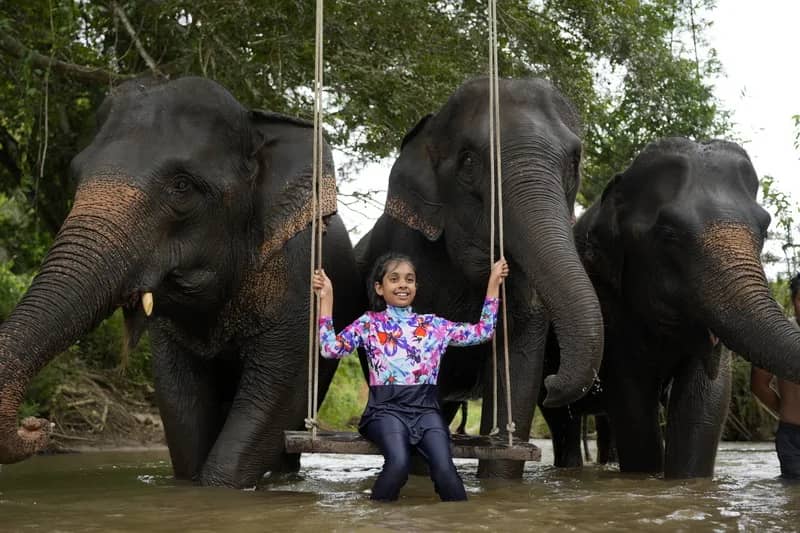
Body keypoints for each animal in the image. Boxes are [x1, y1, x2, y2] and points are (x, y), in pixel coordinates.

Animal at [0, 77, 364, 488]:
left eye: (181, 186)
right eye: (76, 174)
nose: (38, 424)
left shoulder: (296, 271)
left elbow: (279, 388)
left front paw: (220, 487)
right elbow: (178, 395)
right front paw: (189, 482)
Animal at [543, 137, 800, 478]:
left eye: (765, 228)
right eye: (668, 235)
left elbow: (706, 396)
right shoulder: (605, 295)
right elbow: (632, 395)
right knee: (562, 421)